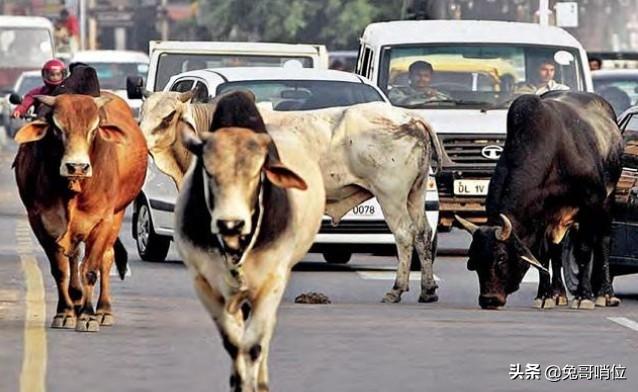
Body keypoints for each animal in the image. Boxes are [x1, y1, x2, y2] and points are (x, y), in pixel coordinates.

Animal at [13, 93, 148, 332]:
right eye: (57, 129)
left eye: (94, 130)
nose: (77, 167)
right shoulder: (39, 221)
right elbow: (60, 270)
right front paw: (65, 312)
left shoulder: (103, 221)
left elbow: (90, 270)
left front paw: (87, 316)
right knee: (74, 257)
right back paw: (75, 302)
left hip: (118, 214)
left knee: (106, 258)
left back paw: (103, 310)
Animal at [458, 91, 628, 310]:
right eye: (474, 258)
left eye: (502, 257)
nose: (489, 299)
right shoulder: (541, 217)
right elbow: (543, 255)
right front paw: (545, 295)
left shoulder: (589, 205)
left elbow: (583, 250)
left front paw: (584, 297)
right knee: (556, 251)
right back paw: (558, 294)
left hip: (607, 200)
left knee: (604, 241)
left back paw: (605, 295)